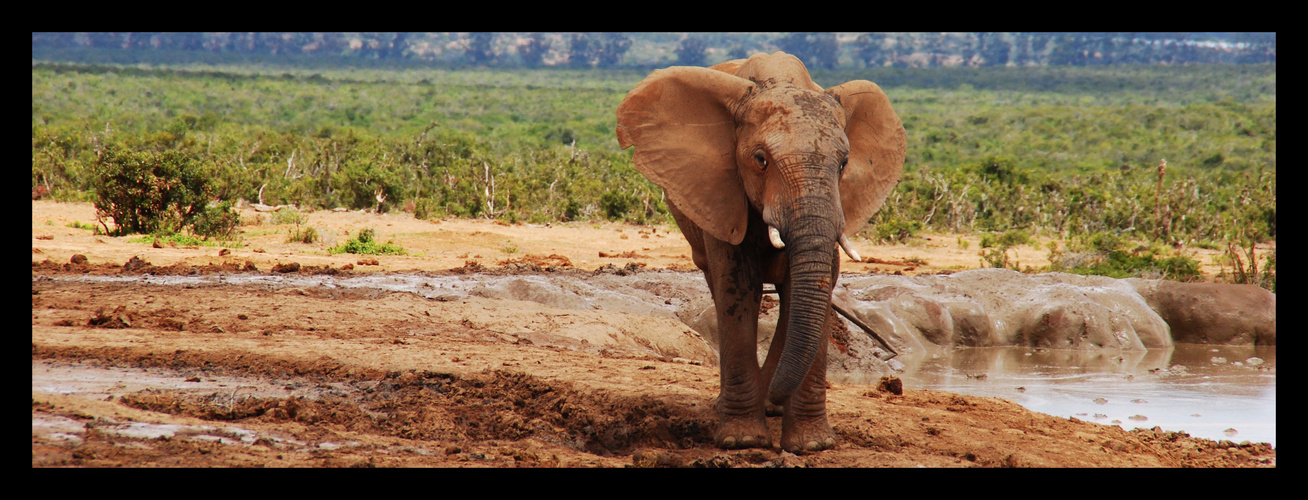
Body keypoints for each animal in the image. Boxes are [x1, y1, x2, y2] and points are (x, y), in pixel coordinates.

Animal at [614, 51, 905, 452]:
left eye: (844, 163)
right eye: (760, 159)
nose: (774, 400)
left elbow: (812, 287)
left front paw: (811, 445)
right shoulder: (722, 191)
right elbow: (737, 287)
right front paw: (744, 441)